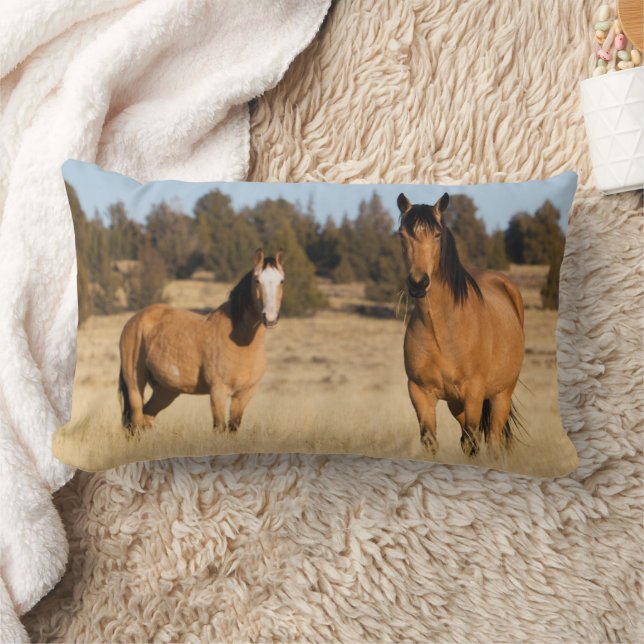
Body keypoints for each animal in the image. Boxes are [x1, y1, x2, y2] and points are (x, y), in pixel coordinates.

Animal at [118, 248, 285, 433]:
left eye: (281, 281)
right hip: (134, 385)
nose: (270, 318)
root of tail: (134, 320)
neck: (241, 342)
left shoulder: (244, 394)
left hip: (165, 391)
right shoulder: (218, 392)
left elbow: (233, 427)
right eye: (257, 281)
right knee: (135, 423)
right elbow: (219, 428)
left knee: (145, 418)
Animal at [397, 192, 525, 457]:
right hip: (456, 404)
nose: (418, 283)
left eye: (437, 235)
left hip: (501, 395)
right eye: (402, 235)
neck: (441, 330)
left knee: (492, 439)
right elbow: (430, 440)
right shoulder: (420, 392)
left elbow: (473, 441)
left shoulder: (474, 391)